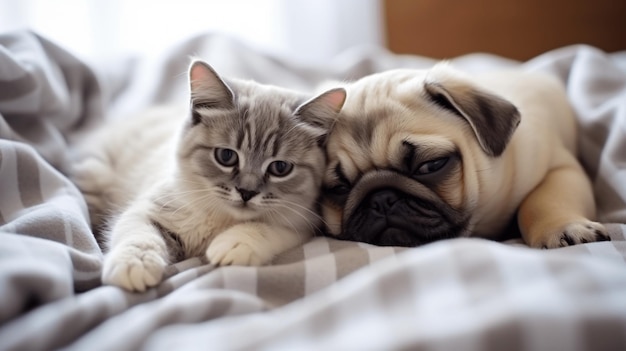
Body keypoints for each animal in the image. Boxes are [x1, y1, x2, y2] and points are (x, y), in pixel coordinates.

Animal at [73, 59, 348, 292]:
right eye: (226, 156)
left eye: (280, 168)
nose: (247, 192)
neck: (221, 218)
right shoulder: (145, 210)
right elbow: (138, 237)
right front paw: (135, 266)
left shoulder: (301, 224)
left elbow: (262, 227)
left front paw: (232, 246)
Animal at [322, 64, 608, 249]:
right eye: (339, 188)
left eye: (430, 166)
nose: (381, 198)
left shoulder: (559, 168)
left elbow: (542, 201)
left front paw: (563, 227)